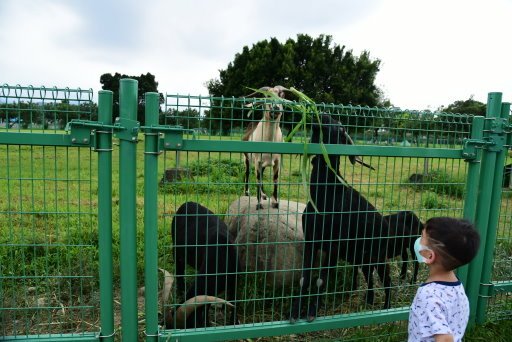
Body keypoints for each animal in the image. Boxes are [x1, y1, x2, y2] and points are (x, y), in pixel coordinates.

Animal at [290, 115, 390, 324]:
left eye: (341, 128)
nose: (323, 116)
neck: (324, 198)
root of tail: (385, 223)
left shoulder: (333, 246)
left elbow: (321, 280)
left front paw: (312, 311)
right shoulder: (310, 240)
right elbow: (304, 278)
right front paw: (295, 311)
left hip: (377, 253)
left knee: (387, 279)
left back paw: (386, 308)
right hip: (360, 255)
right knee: (368, 276)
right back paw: (368, 301)